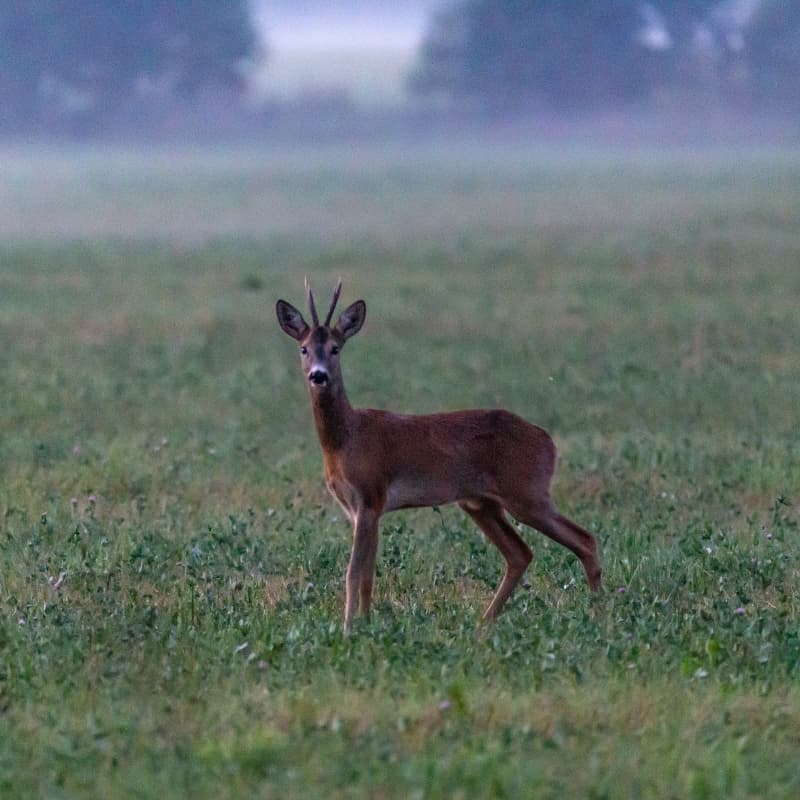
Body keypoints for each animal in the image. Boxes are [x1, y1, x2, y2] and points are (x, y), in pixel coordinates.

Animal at [276, 278, 600, 636]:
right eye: (304, 348)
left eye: (336, 348)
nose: (318, 375)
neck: (346, 439)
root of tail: (548, 441)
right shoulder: (361, 509)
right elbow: (367, 575)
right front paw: (366, 624)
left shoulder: (371, 496)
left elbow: (353, 573)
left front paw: (349, 629)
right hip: (481, 503)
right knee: (521, 553)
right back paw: (484, 622)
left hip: (527, 492)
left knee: (584, 539)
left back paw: (600, 613)